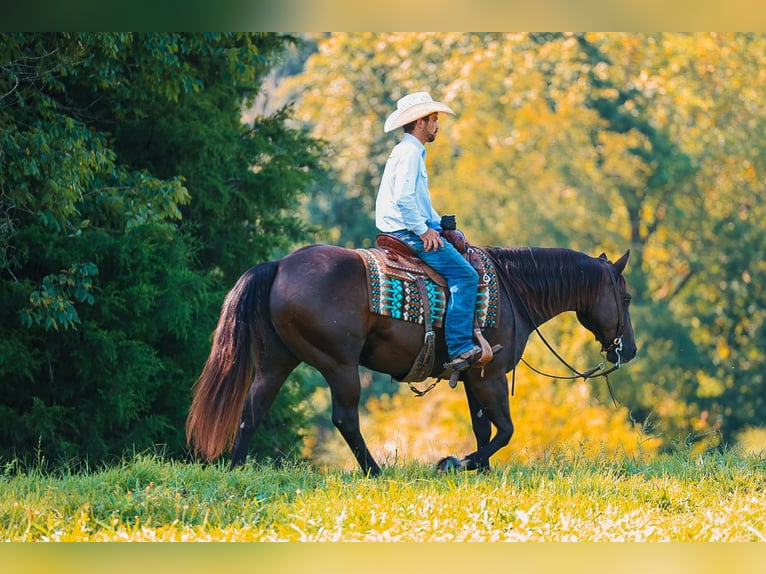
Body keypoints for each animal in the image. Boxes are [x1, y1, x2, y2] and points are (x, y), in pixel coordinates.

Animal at [185, 244, 636, 476]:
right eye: (627, 297)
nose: (628, 350)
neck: (513, 290)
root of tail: (279, 265)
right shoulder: (489, 375)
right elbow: (505, 431)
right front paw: (455, 463)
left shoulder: (472, 378)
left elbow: (483, 428)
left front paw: (480, 472)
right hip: (339, 365)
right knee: (345, 419)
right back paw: (375, 471)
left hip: (275, 362)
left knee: (252, 409)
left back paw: (237, 467)